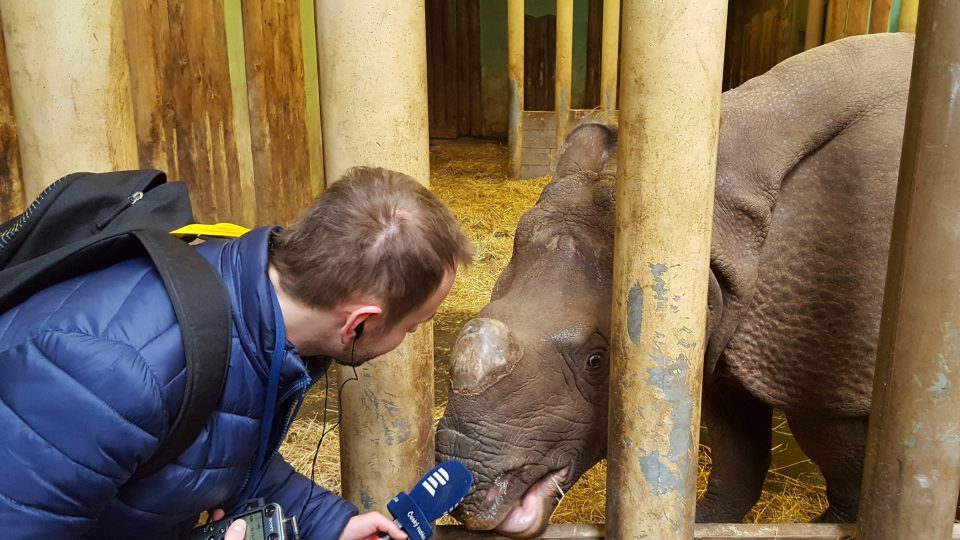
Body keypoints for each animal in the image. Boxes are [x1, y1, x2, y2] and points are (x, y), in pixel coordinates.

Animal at [436, 32, 916, 536]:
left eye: (596, 361)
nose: (465, 486)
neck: (706, 220)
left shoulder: (827, 381)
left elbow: (841, 461)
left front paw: (834, 524)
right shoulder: (727, 323)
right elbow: (737, 453)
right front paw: (705, 521)